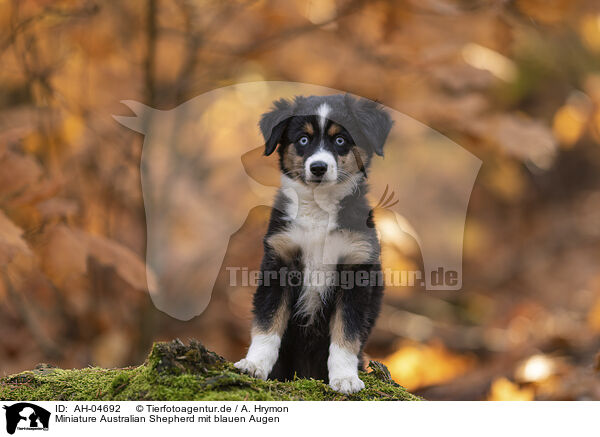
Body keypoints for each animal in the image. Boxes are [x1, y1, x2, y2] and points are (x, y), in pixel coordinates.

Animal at [234, 93, 394, 394]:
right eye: (303, 140)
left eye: (340, 140)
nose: (318, 167)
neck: (320, 209)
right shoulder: (279, 261)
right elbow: (267, 323)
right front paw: (254, 365)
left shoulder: (355, 271)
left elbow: (346, 332)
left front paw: (345, 378)